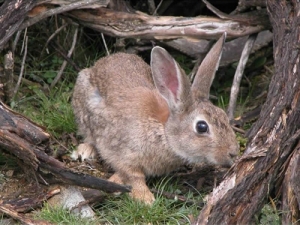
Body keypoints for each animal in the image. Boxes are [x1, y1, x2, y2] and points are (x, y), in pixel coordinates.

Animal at [72, 33, 239, 204]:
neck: (164, 132)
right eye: (201, 127)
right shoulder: (124, 152)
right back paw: (86, 151)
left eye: (224, 115)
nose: (233, 152)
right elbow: (133, 175)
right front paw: (144, 198)